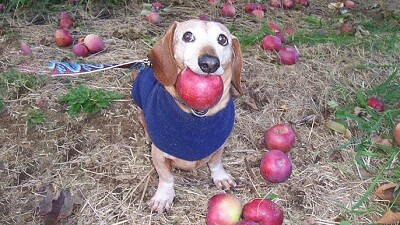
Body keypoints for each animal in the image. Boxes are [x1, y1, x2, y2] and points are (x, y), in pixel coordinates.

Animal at [133, 18, 242, 213]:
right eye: (188, 36)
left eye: (223, 39)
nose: (209, 63)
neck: (196, 119)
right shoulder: (159, 155)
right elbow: (166, 177)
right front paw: (163, 196)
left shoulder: (219, 145)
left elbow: (216, 162)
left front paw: (220, 176)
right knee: (143, 121)